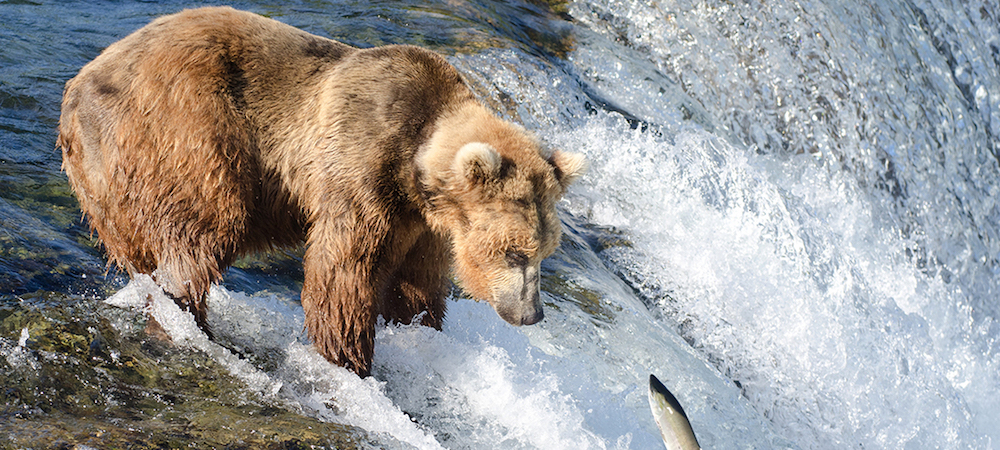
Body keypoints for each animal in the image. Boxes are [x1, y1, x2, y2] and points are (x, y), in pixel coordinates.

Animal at [57, 6, 585, 377]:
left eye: (545, 251)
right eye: (515, 252)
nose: (532, 314)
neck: (415, 164)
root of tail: (77, 86)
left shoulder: (423, 225)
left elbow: (415, 286)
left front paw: (418, 330)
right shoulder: (360, 168)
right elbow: (343, 273)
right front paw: (349, 359)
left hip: (105, 178)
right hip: (183, 123)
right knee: (207, 222)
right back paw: (189, 315)